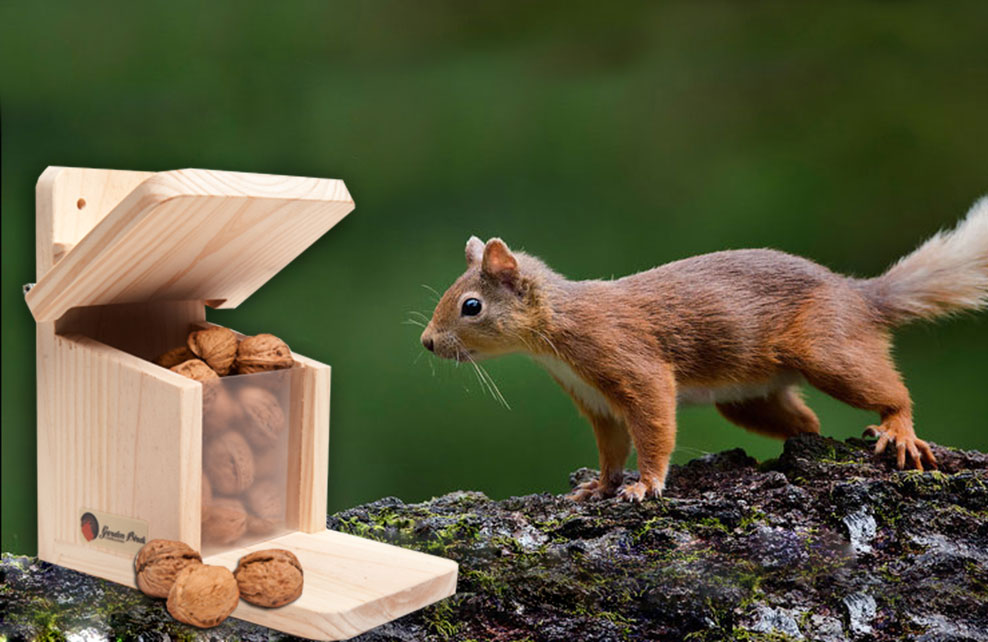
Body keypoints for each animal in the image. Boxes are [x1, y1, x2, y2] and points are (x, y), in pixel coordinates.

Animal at [418, 200, 988, 500]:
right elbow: (610, 450)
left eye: (471, 306)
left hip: (827, 350)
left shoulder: (633, 366)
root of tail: (860, 296)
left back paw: (899, 430)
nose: (427, 342)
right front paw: (598, 488)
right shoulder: (597, 403)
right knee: (806, 422)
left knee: (890, 392)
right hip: (747, 399)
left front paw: (644, 486)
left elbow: (653, 429)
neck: (559, 333)